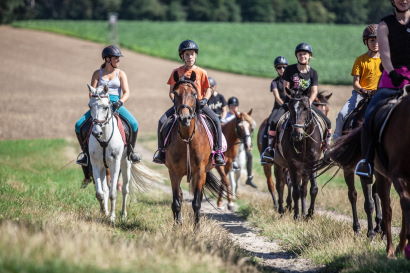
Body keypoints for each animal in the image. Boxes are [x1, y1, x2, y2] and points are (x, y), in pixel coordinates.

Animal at [88, 84, 162, 222]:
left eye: (105, 107)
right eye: (90, 106)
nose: (96, 132)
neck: (104, 138)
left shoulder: (115, 163)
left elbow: (113, 193)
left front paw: (112, 217)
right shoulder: (95, 164)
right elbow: (100, 193)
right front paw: (104, 212)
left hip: (125, 163)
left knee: (124, 189)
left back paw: (123, 214)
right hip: (104, 167)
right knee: (105, 189)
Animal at [165, 71, 229, 224]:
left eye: (194, 94)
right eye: (175, 93)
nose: (185, 118)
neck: (187, 138)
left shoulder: (199, 172)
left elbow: (197, 203)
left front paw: (196, 228)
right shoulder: (173, 172)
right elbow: (176, 202)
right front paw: (177, 226)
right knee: (180, 196)